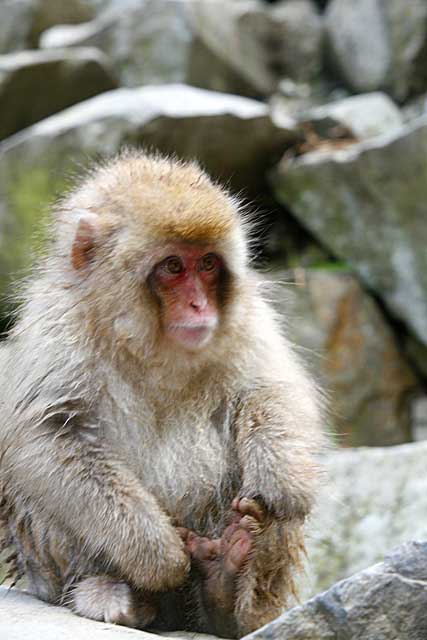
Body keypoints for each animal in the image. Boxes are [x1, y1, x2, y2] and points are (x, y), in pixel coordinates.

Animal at [0, 150, 324, 636]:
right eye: (173, 267)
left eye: (207, 264)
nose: (199, 305)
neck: (148, 343)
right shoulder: (56, 330)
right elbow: (46, 436)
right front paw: (157, 553)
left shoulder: (247, 319)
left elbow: (272, 391)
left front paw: (281, 480)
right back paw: (114, 593)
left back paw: (227, 594)